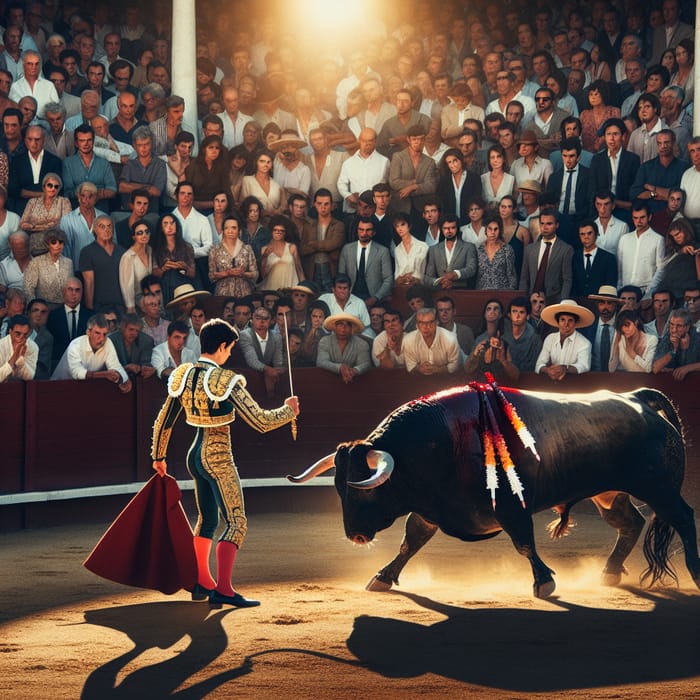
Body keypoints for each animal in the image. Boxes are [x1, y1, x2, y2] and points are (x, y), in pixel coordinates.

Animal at [288, 386, 700, 600]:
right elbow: (411, 541)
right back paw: (610, 572)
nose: (355, 536)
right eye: (339, 490)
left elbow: (523, 541)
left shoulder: (510, 505)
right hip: (610, 493)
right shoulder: (431, 507)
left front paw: (544, 581)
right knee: (630, 522)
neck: (444, 438)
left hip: (658, 488)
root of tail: (637, 399)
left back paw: (695, 572)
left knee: (682, 517)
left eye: (367, 492)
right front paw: (383, 577)